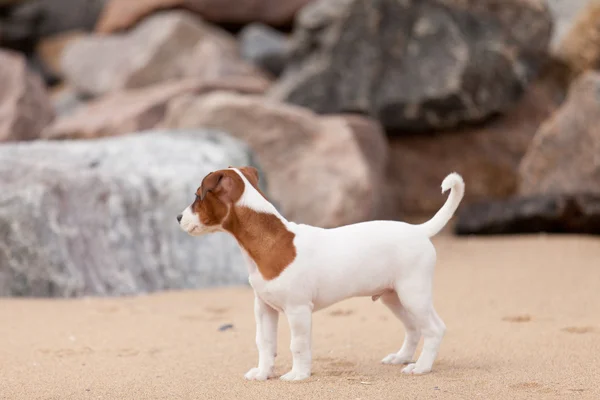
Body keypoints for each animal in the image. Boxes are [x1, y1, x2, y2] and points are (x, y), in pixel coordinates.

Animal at [176, 166, 466, 382]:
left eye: (197, 196)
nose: (178, 217)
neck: (270, 240)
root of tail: (419, 230)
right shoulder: (264, 309)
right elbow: (265, 343)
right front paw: (263, 373)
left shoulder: (298, 310)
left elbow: (298, 345)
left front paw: (298, 375)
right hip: (393, 297)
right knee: (414, 328)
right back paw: (402, 357)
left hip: (413, 294)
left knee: (434, 329)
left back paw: (422, 367)